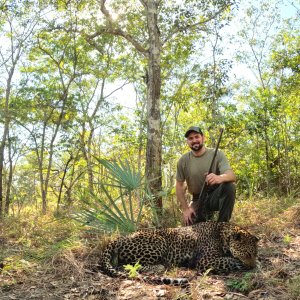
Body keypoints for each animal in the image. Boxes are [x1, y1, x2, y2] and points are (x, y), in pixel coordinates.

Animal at [98, 220, 258, 286]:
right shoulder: (205, 260)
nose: (252, 267)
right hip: (159, 242)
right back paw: (162, 265)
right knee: (130, 266)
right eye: (247, 254)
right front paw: (239, 263)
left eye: (255, 254)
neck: (223, 233)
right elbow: (228, 260)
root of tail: (119, 238)